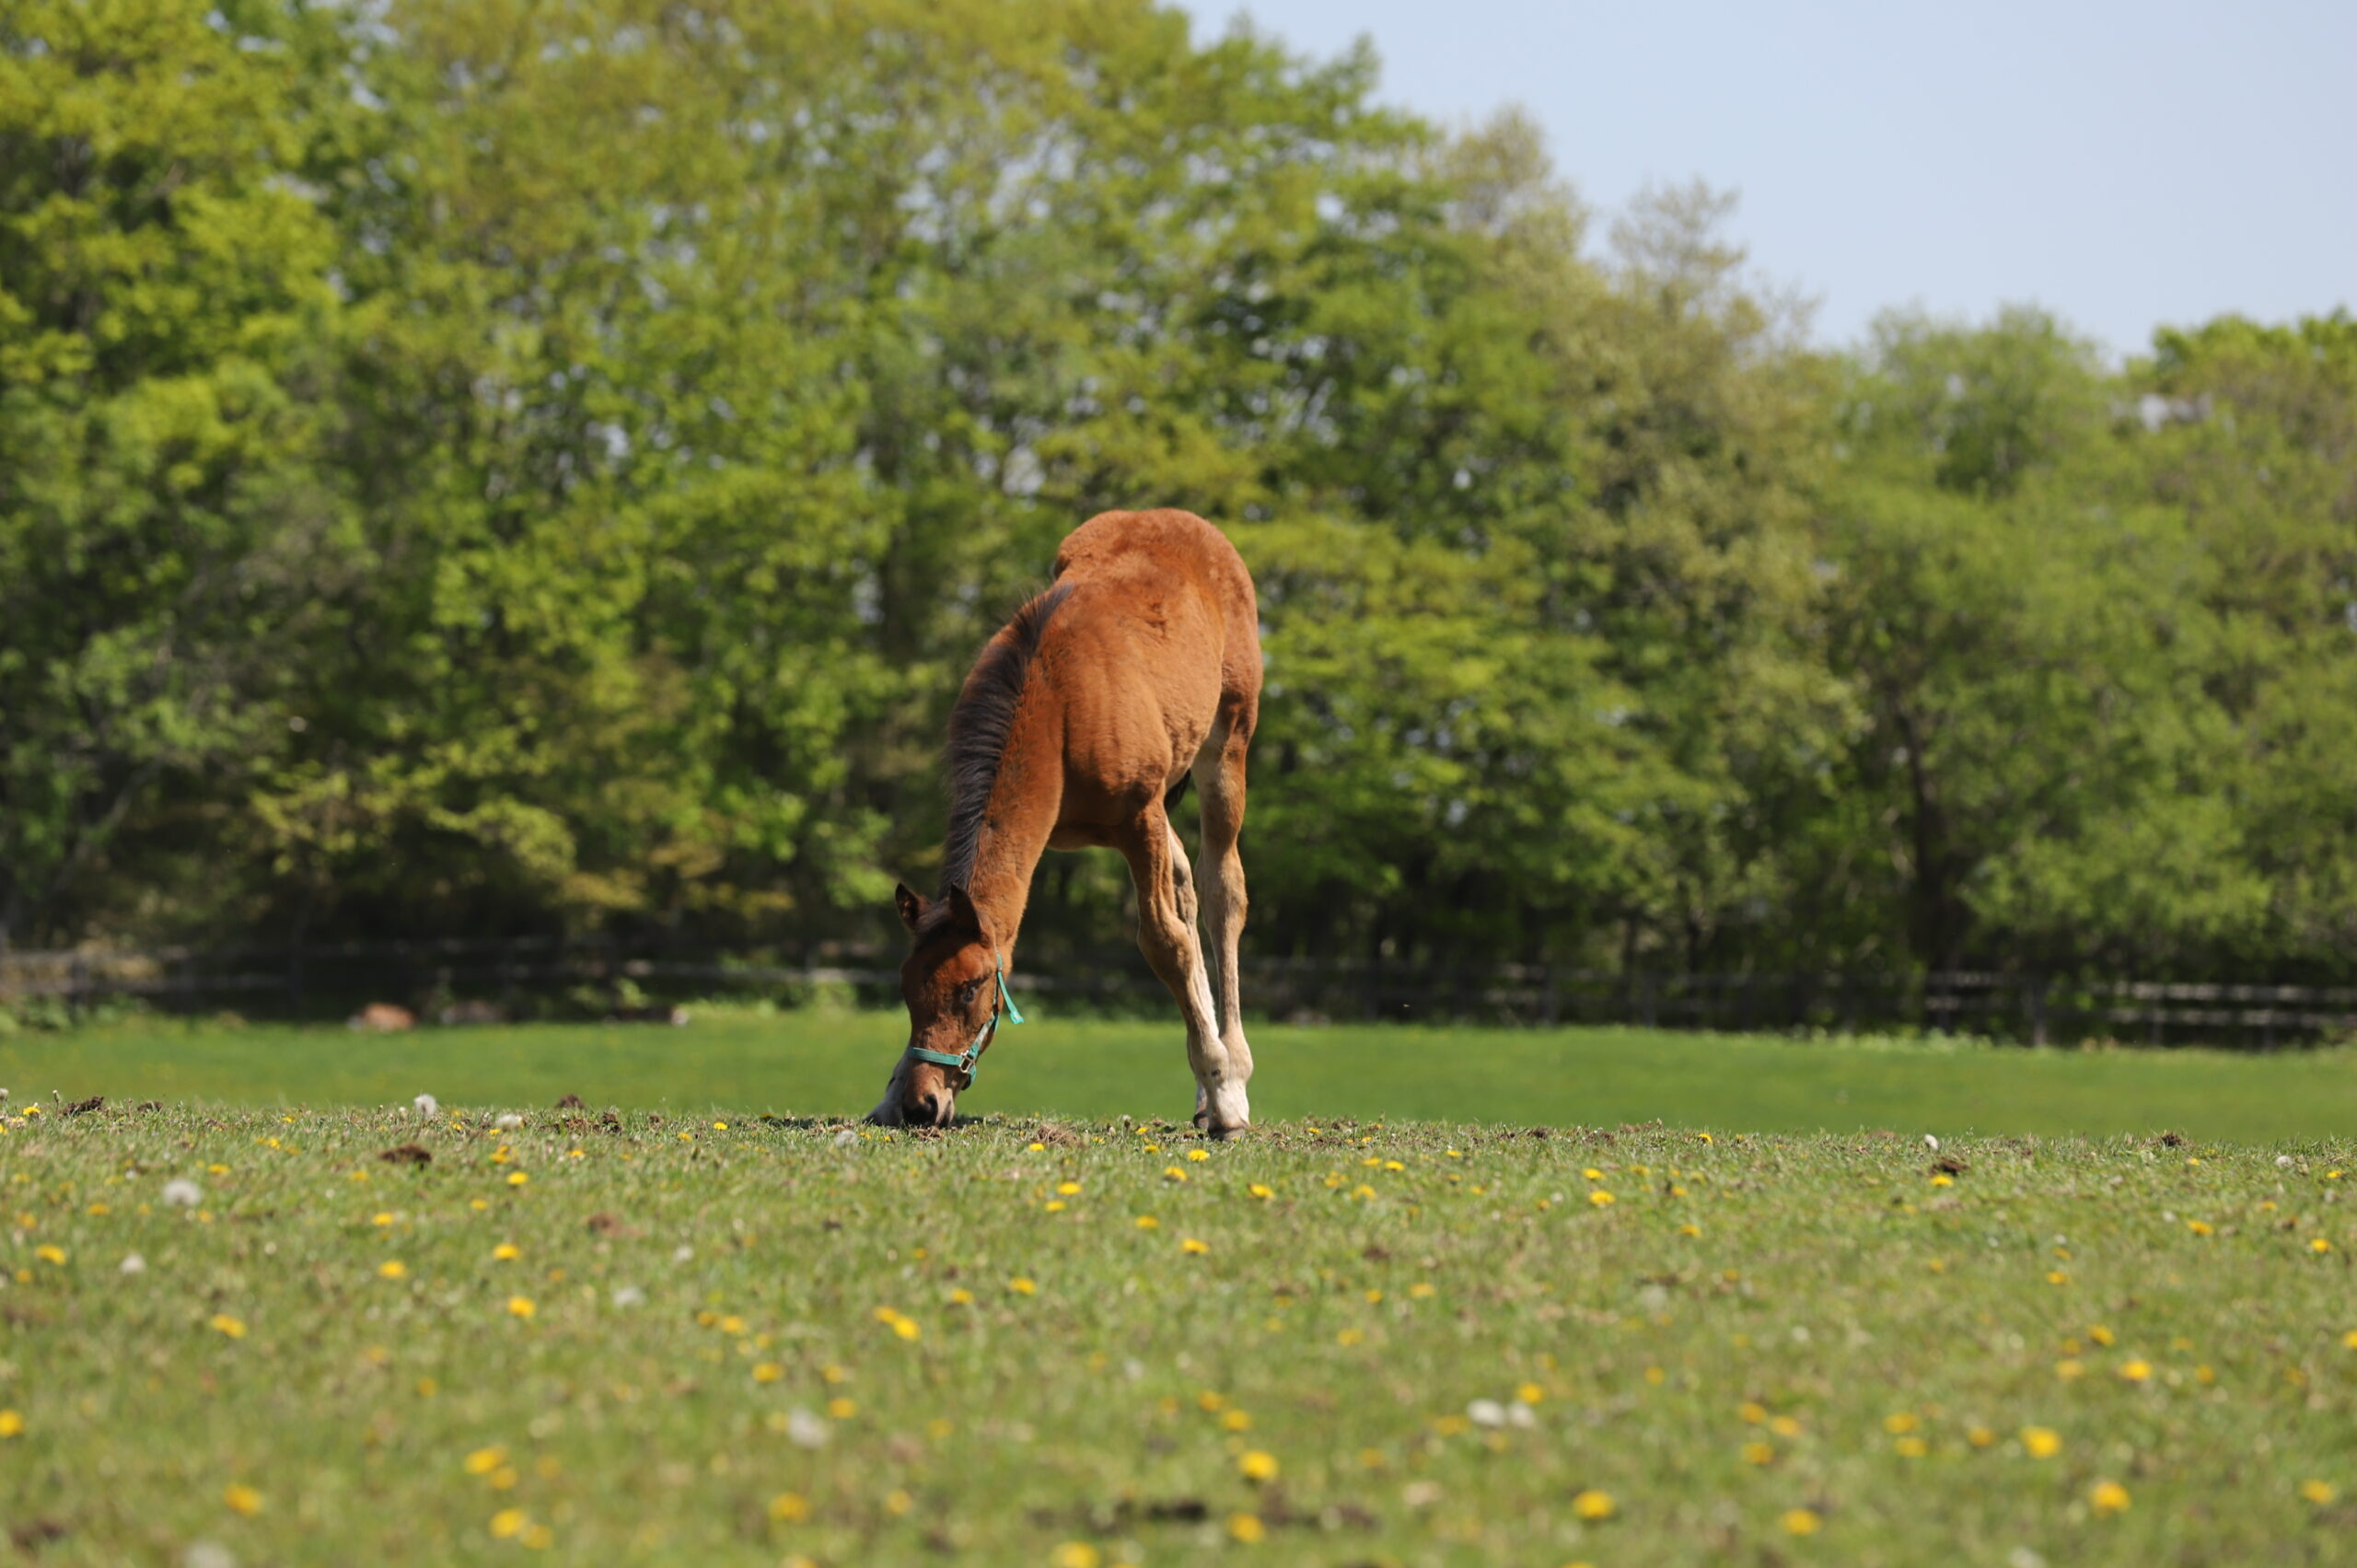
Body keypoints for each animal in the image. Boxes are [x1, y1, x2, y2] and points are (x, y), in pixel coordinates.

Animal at [872, 506, 1272, 1132]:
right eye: (908, 988)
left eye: (971, 988)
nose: (922, 1103)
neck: (1057, 705)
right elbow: (1175, 920)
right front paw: (888, 1093)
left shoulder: (1139, 818)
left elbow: (1166, 941)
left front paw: (1224, 1089)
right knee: (1187, 885)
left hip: (1227, 743)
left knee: (1222, 892)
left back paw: (1231, 1074)